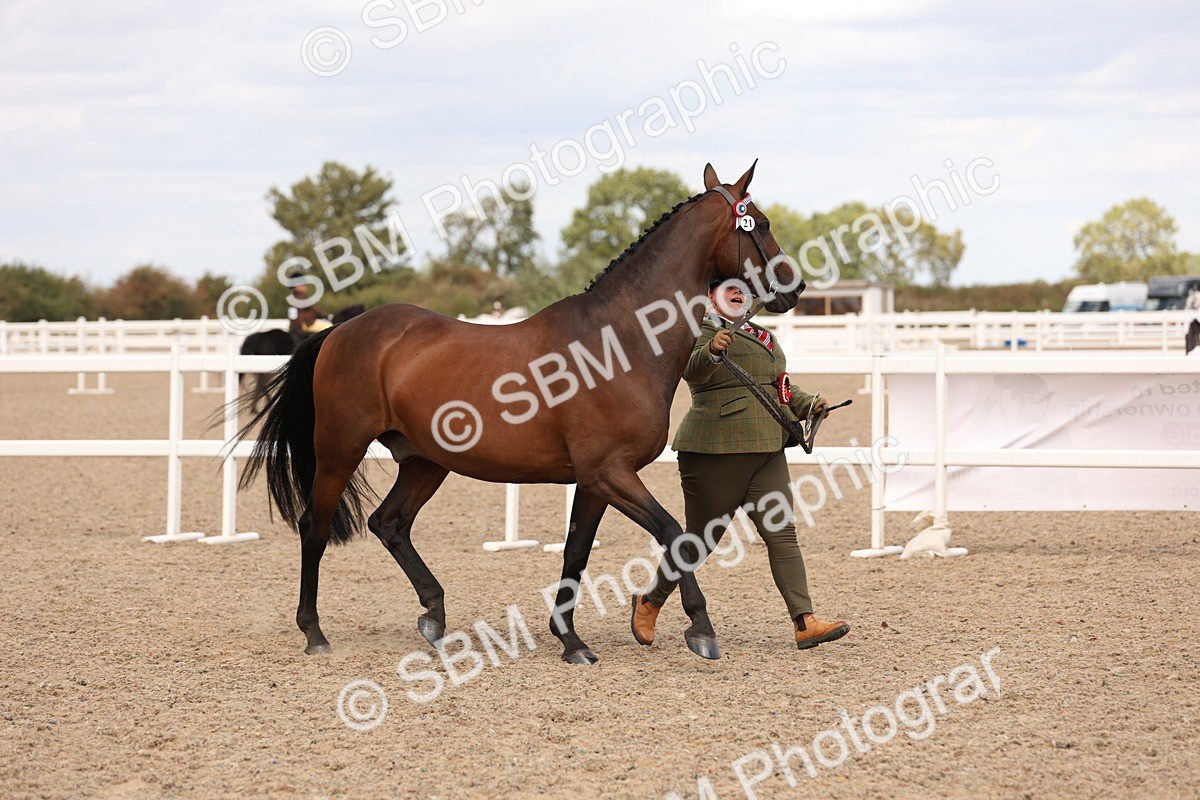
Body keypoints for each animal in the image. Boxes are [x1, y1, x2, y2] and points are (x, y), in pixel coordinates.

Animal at [237, 162, 805, 664]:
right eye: (762, 224)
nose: (794, 288)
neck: (619, 341)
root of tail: (340, 331)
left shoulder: (595, 480)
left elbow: (576, 552)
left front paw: (570, 640)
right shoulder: (611, 472)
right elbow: (674, 535)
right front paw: (700, 629)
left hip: (425, 461)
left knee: (390, 523)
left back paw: (434, 617)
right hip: (340, 448)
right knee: (315, 525)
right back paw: (315, 633)